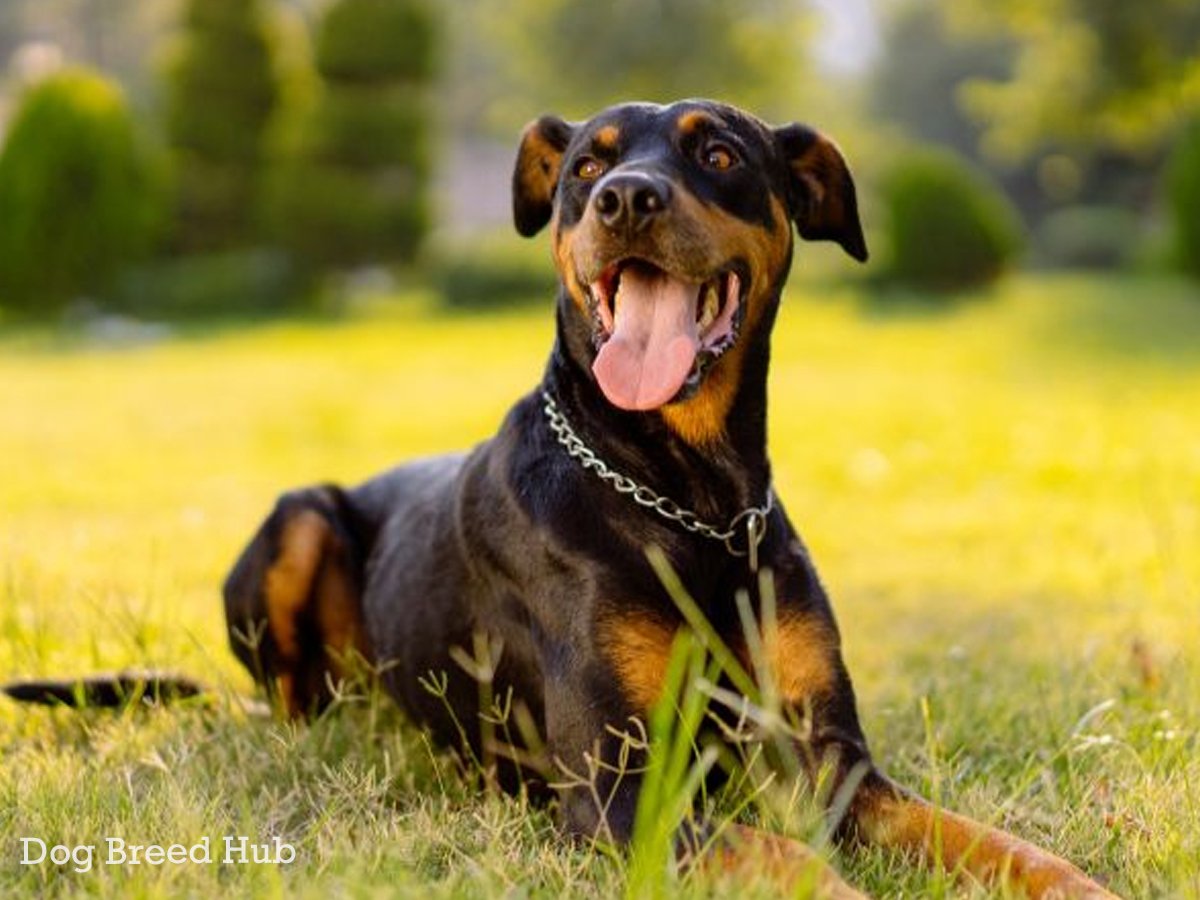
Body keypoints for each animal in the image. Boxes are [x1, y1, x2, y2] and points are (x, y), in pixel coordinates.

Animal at [218, 100, 1113, 900]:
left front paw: (1079, 885)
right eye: (587, 166)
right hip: (300, 519)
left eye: (718, 153)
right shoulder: (619, 787)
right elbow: (788, 857)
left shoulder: (831, 756)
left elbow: (988, 840)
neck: (694, 500)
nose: (625, 198)